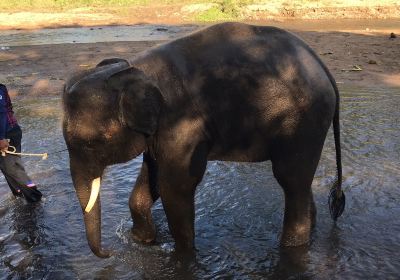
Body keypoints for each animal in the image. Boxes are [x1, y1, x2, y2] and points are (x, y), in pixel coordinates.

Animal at [61, 21, 344, 258]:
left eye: (92, 142)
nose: (108, 253)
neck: (136, 69)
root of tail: (324, 68)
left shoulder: (183, 125)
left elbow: (175, 186)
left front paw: (183, 256)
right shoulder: (160, 131)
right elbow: (152, 176)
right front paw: (143, 242)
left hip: (303, 122)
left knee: (291, 180)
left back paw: (291, 249)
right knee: (300, 182)